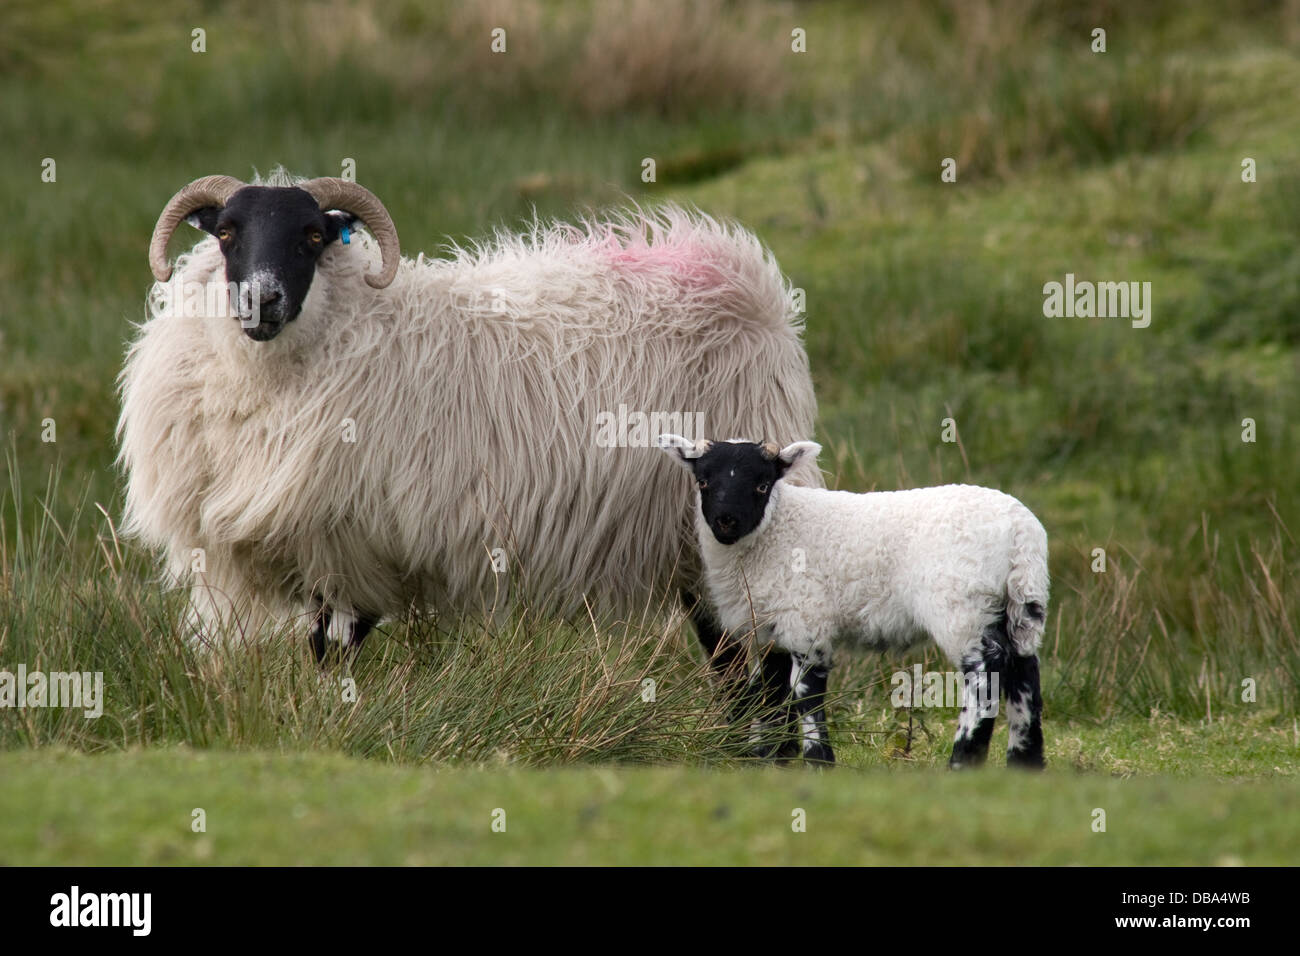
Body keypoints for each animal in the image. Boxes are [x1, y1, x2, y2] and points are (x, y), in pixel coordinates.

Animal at [116, 167, 816, 671]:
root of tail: (745, 279)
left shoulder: (353, 543)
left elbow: (331, 655)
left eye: (313, 236)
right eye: (226, 232)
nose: (261, 300)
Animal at [655, 434, 1050, 770]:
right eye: (703, 482)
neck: (776, 528)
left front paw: (818, 761)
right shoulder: (773, 625)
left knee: (986, 669)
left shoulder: (806, 619)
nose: (726, 522)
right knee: (1024, 670)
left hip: (960, 603)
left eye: (762, 485)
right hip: (1020, 602)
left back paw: (962, 760)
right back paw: (1024, 764)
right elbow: (770, 692)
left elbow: (805, 694)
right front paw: (767, 759)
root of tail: (1022, 531)